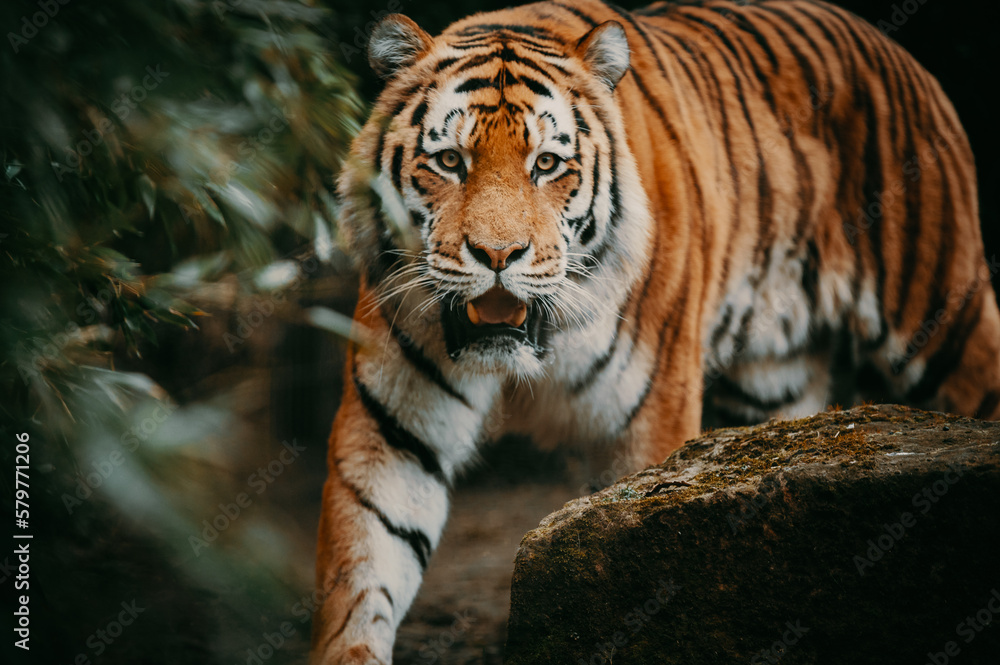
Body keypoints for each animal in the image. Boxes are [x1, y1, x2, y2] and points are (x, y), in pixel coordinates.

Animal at [311, 0, 1000, 662]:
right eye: (450, 161)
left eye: (547, 163)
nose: (498, 255)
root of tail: (889, 46)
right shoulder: (392, 431)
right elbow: (362, 572)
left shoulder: (650, 428)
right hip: (772, 390)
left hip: (943, 318)